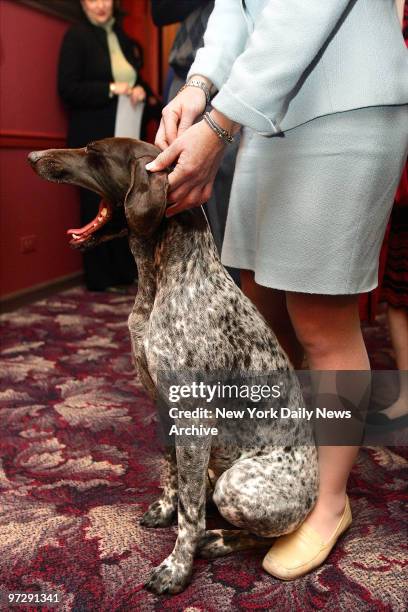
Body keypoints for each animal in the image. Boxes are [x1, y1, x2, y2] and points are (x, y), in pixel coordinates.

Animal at [29, 137, 318, 592]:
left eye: (94, 153)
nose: (32, 157)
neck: (163, 278)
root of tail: (315, 496)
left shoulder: (194, 415)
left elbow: (191, 515)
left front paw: (177, 566)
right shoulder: (160, 400)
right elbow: (172, 474)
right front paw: (166, 508)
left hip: (238, 485)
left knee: (269, 532)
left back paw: (217, 540)